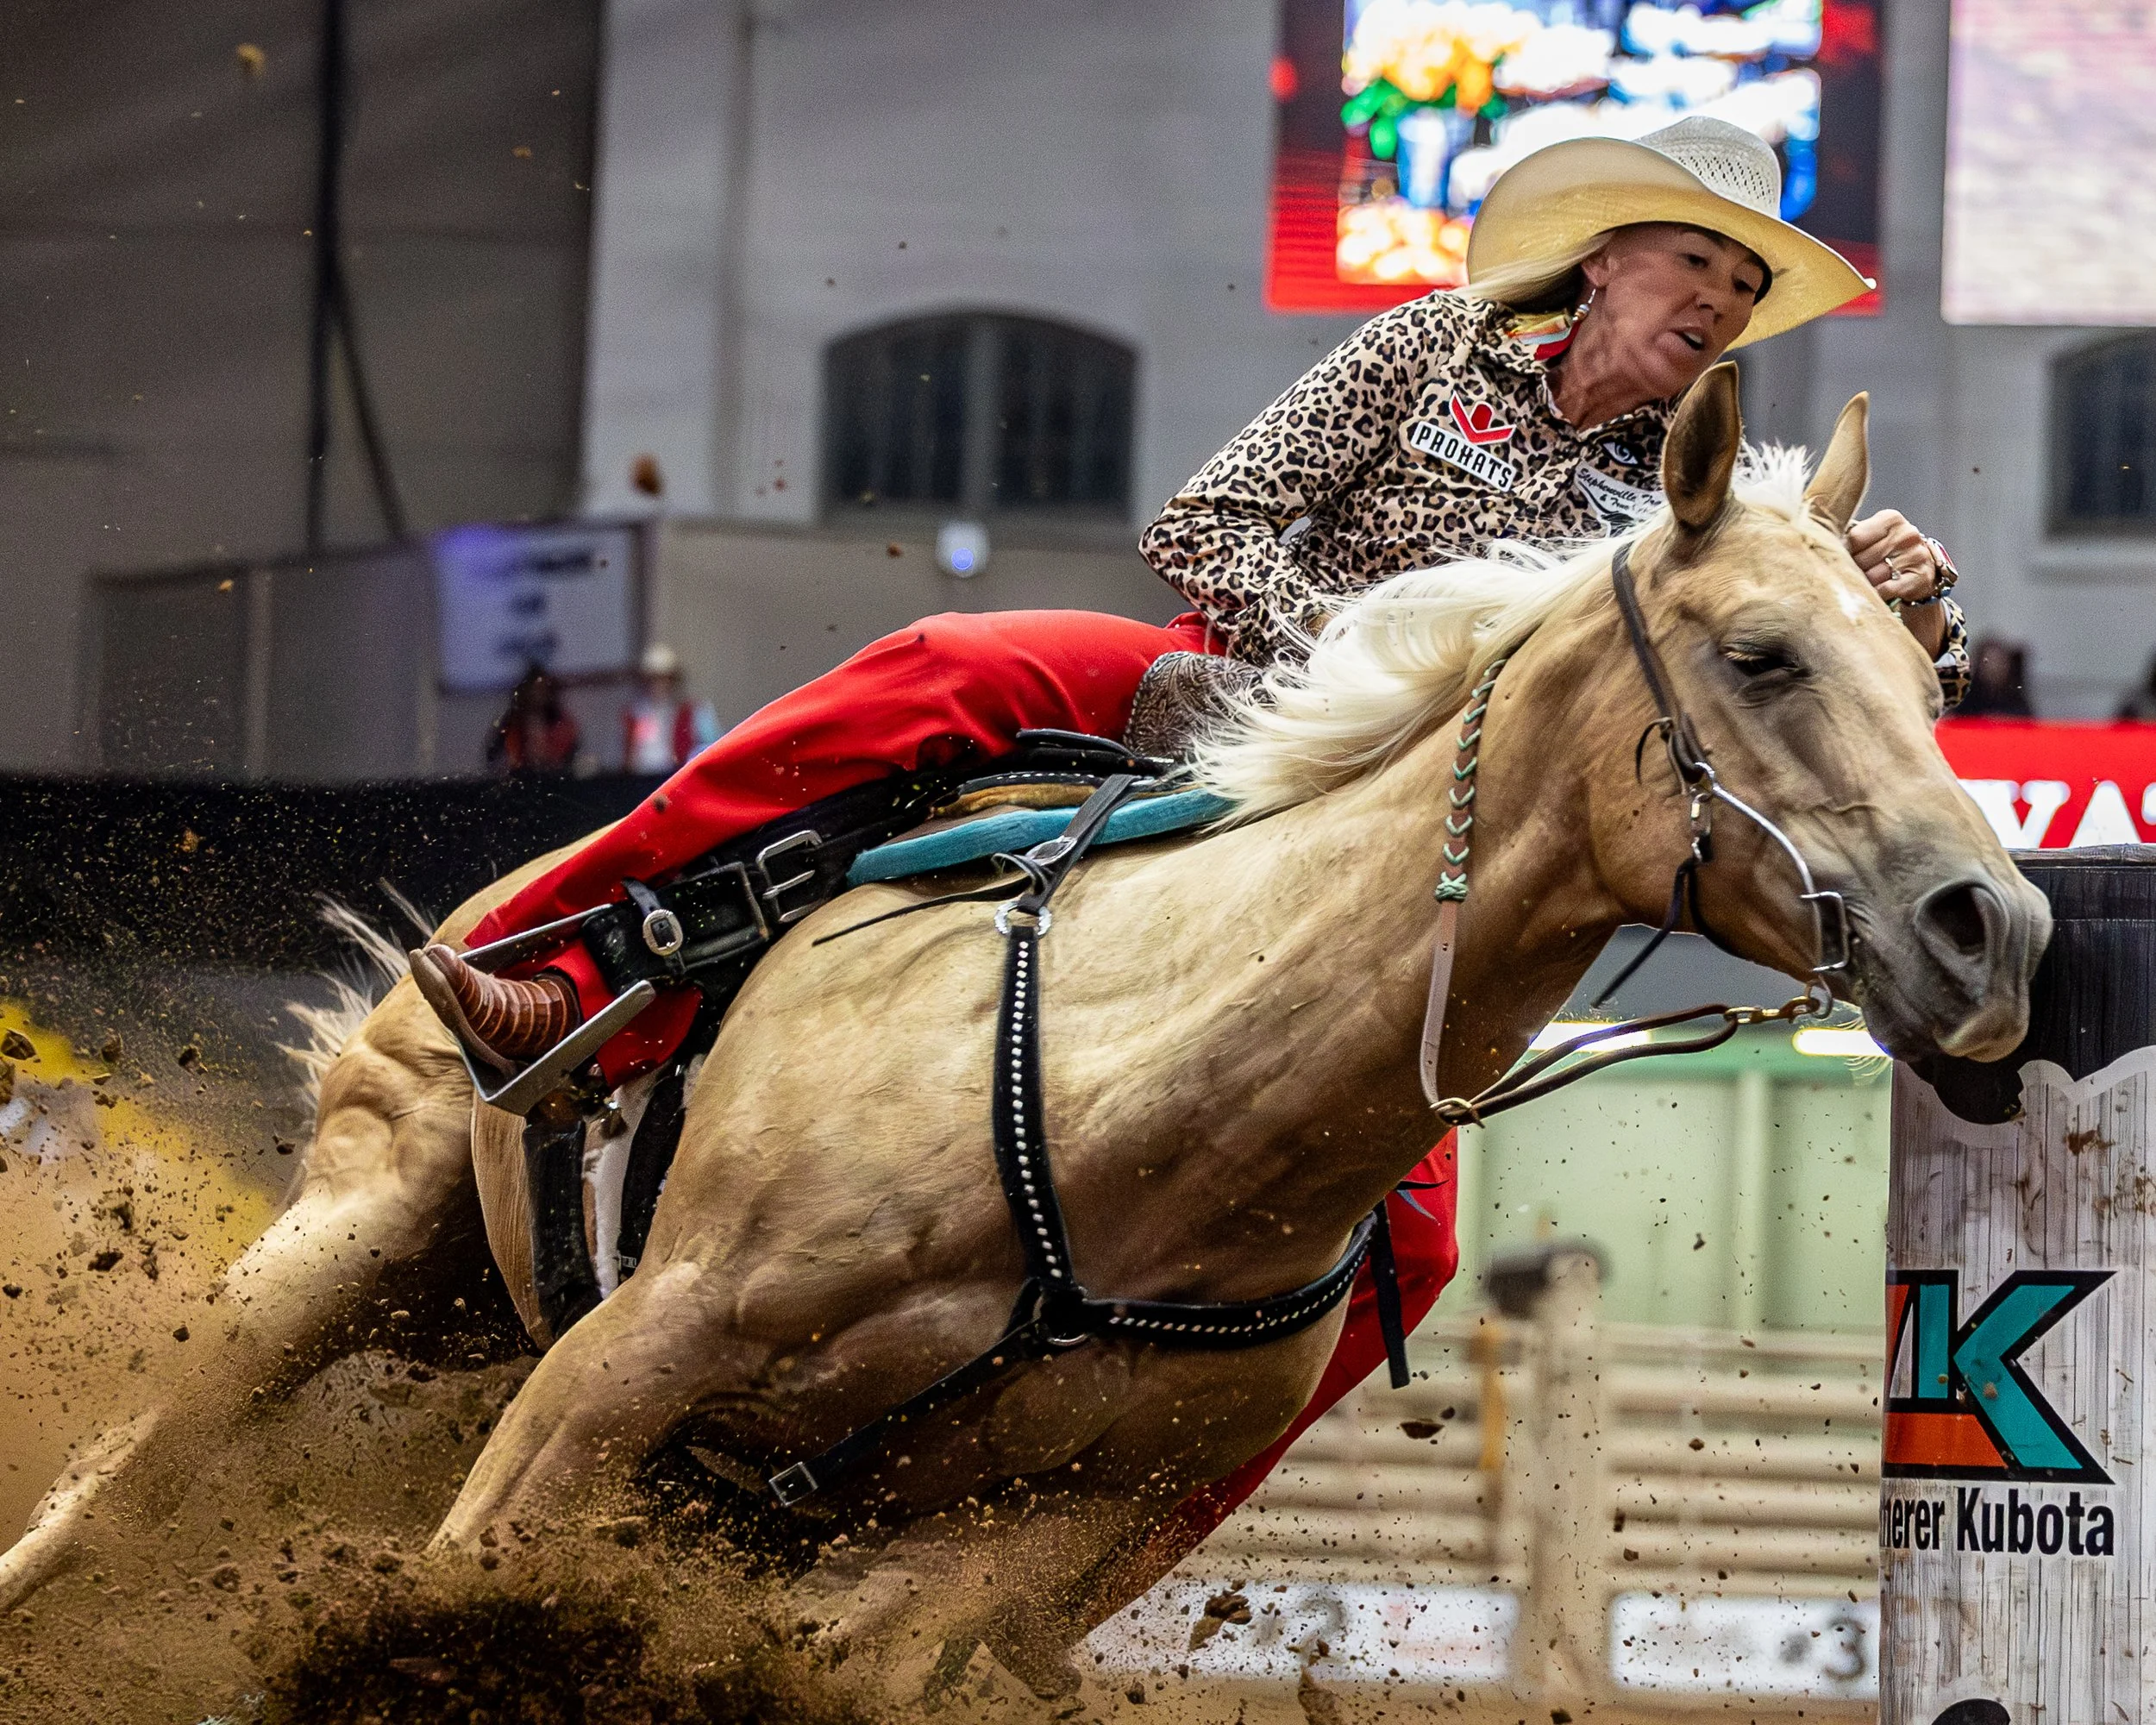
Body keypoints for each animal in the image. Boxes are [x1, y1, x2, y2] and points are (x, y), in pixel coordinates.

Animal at [0, 367, 2046, 1703]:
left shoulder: (992, 1548)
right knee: (103, 1507)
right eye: (1763, 655)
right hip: (346, 1237)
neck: (1130, 1102)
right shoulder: (620, 1367)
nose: (1996, 925)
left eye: (1923, 670)